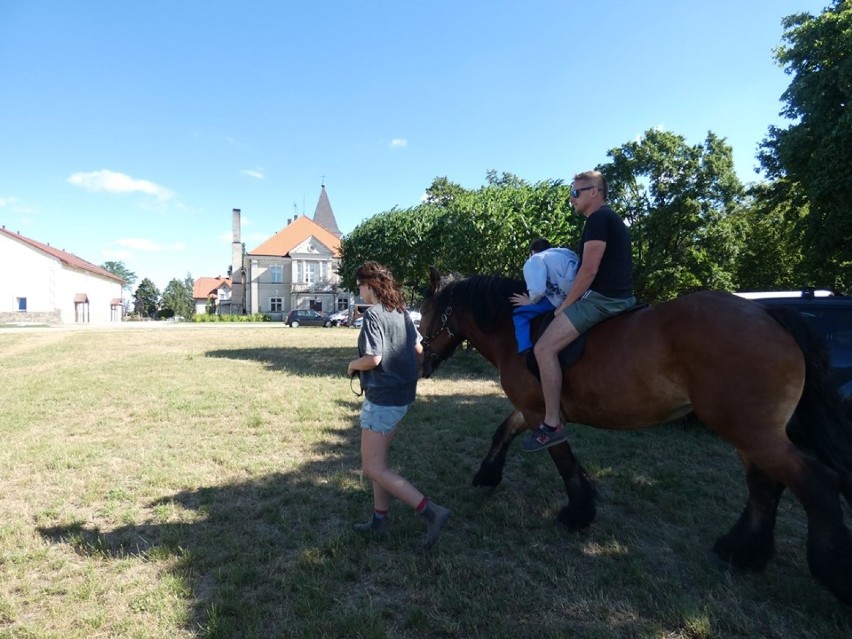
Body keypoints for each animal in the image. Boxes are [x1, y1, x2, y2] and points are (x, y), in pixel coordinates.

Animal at [420, 268, 852, 604]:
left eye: (424, 312)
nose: (423, 361)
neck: (515, 333)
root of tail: (766, 314)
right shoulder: (532, 411)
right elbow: (504, 432)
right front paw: (487, 475)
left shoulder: (540, 412)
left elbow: (563, 460)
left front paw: (577, 513)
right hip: (751, 433)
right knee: (766, 486)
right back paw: (742, 552)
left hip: (751, 431)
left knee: (816, 484)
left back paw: (829, 570)